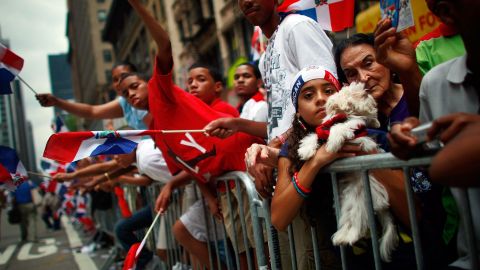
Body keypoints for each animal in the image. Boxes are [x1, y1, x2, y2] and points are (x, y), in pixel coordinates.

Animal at [300, 82, 398, 262]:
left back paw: (347, 237)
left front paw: (332, 143)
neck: (343, 114)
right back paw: (341, 237)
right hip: (348, 200)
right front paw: (306, 150)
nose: (366, 92)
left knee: (357, 220)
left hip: (361, 196)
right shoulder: (322, 128)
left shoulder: (353, 128)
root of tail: (383, 205)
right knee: (350, 219)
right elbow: (314, 135)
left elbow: (340, 127)